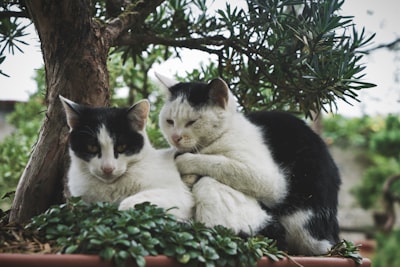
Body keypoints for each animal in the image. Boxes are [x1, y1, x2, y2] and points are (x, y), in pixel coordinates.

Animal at [59, 95, 195, 221]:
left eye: (121, 147)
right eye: (92, 147)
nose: (107, 168)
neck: (110, 188)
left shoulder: (178, 195)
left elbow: (128, 202)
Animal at [155, 74, 340, 256]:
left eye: (192, 122)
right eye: (169, 121)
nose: (175, 137)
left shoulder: (271, 182)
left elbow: (216, 161)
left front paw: (184, 161)